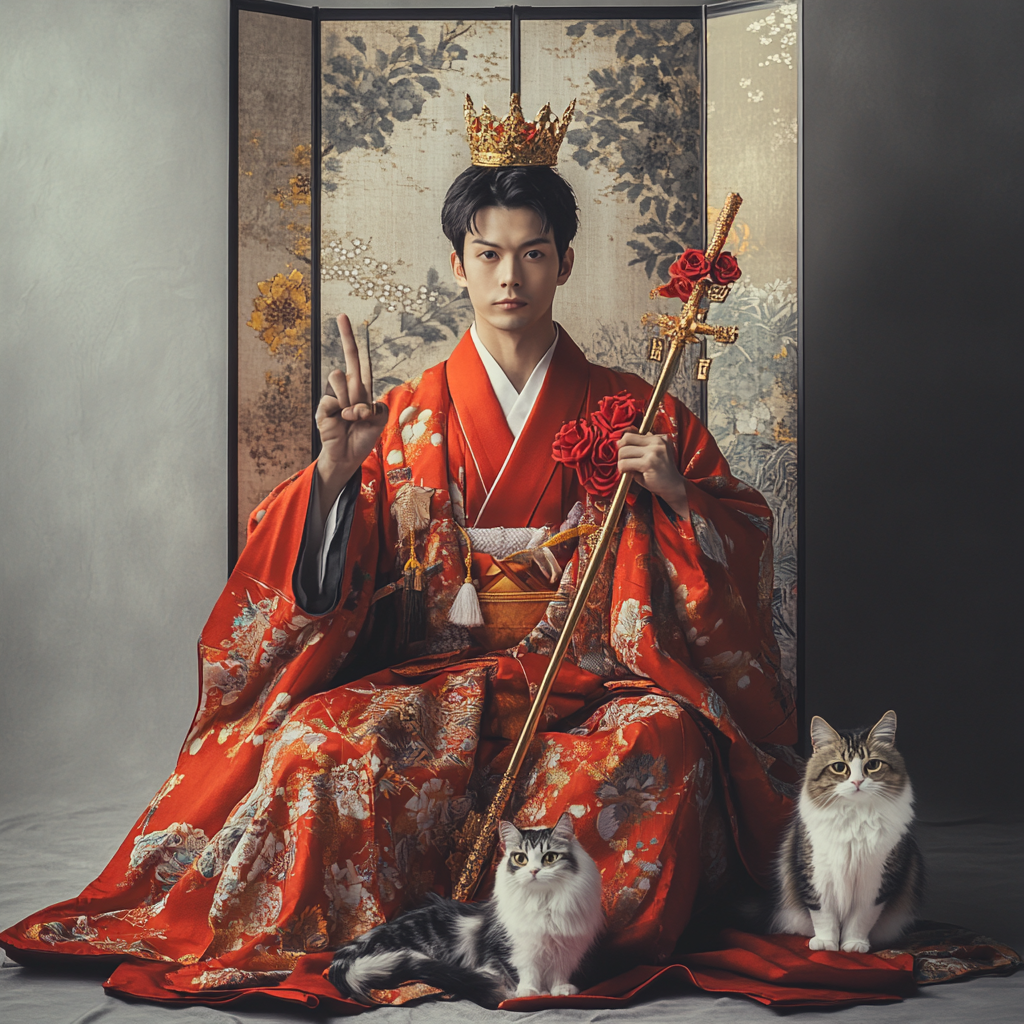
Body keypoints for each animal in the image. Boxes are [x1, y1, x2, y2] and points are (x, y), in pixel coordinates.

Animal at [327, 815, 602, 1007]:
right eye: (520, 858)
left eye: (549, 858)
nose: (534, 871)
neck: (544, 903)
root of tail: (356, 946)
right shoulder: (512, 947)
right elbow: (525, 971)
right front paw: (530, 992)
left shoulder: (567, 947)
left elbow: (558, 973)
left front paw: (561, 990)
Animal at [770, 712, 925, 950]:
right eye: (839, 767)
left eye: (873, 764)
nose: (857, 781)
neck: (855, 817)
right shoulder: (817, 873)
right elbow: (823, 915)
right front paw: (827, 944)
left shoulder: (876, 881)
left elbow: (861, 919)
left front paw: (853, 945)